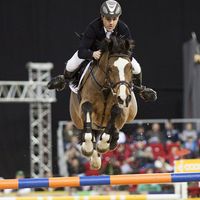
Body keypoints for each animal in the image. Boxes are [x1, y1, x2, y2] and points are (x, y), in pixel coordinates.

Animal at [69, 36, 138, 169]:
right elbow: (87, 109)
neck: (106, 88)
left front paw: (104, 144)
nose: (123, 97)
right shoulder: (85, 105)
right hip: (78, 118)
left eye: (130, 68)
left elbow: (115, 113)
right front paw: (88, 147)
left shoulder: (120, 108)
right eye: (110, 69)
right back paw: (94, 156)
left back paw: (111, 141)